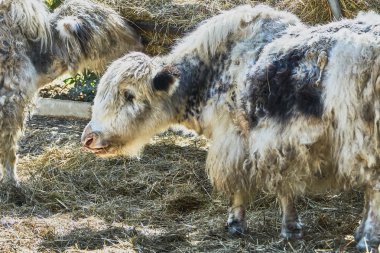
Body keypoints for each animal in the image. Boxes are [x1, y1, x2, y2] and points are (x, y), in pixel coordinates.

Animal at [81, 3, 378, 251]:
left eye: (129, 95)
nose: (88, 138)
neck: (215, 71)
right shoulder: (278, 146)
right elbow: (285, 186)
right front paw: (291, 229)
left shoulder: (238, 141)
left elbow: (239, 184)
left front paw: (236, 224)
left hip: (363, 141)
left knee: (373, 187)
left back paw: (366, 238)